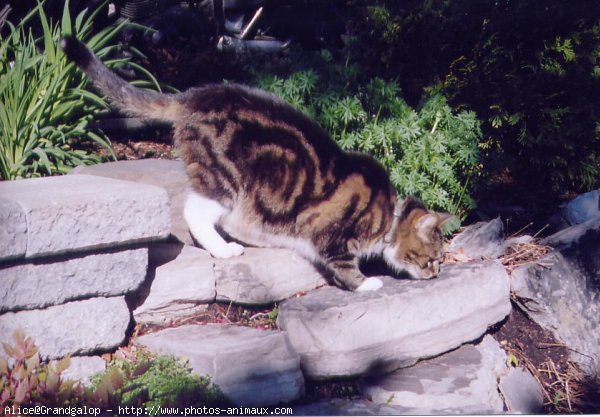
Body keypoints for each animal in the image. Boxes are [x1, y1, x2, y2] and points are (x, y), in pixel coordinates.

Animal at [61, 35, 452, 290]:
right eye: (433, 258)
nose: (436, 274)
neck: (388, 216)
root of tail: (190, 97)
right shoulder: (334, 238)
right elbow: (344, 267)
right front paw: (368, 283)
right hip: (226, 182)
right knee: (195, 211)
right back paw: (224, 248)